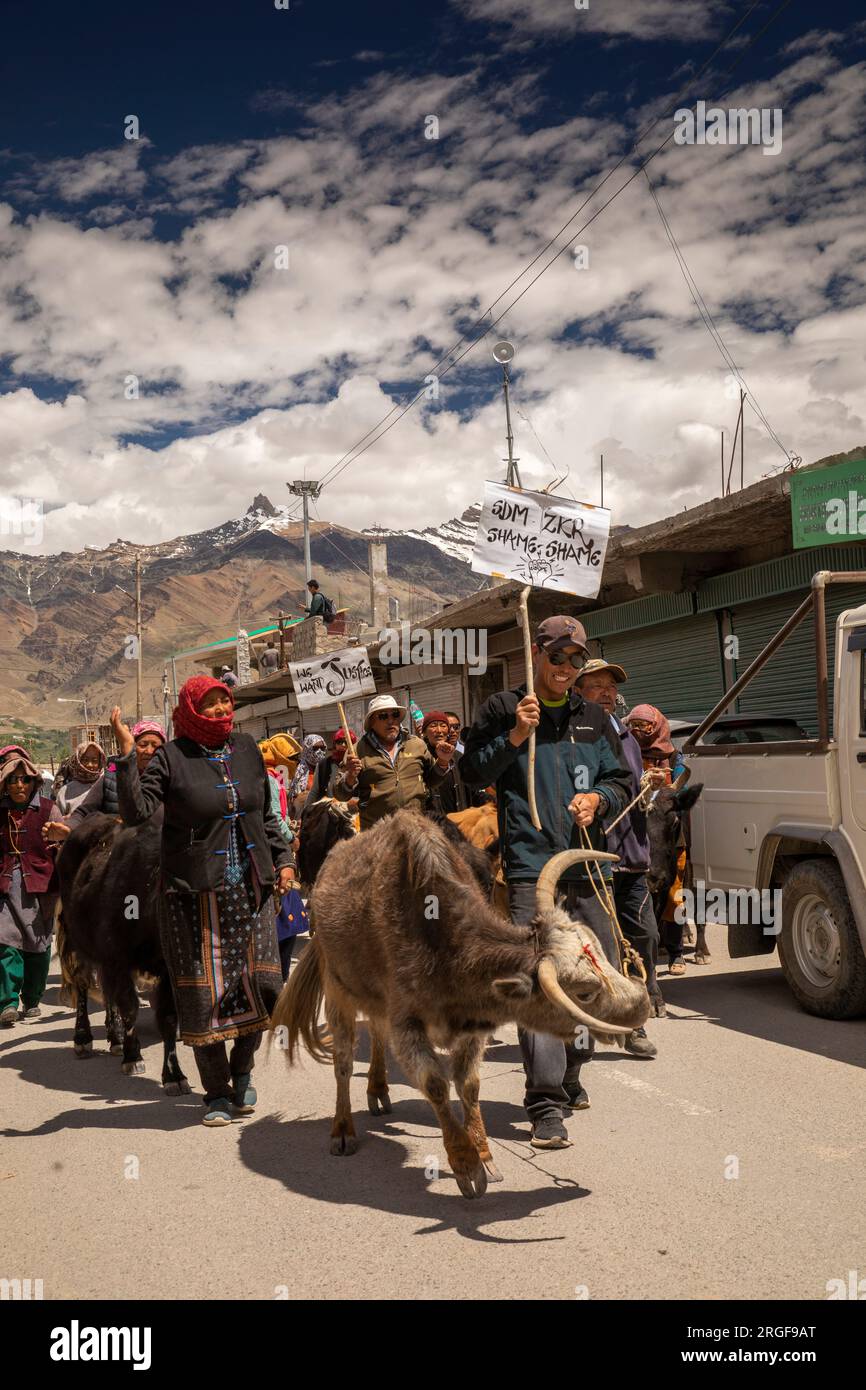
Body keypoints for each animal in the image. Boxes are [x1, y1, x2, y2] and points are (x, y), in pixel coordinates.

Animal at [272, 811, 650, 1200]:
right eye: (584, 992)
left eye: (600, 952)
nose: (641, 1002)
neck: (441, 943)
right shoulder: (406, 1024)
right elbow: (436, 1085)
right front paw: (465, 1163)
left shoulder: (470, 1029)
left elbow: (468, 1085)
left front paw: (483, 1153)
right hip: (337, 991)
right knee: (344, 1062)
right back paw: (343, 1129)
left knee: (375, 1033)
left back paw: (378, 1090)